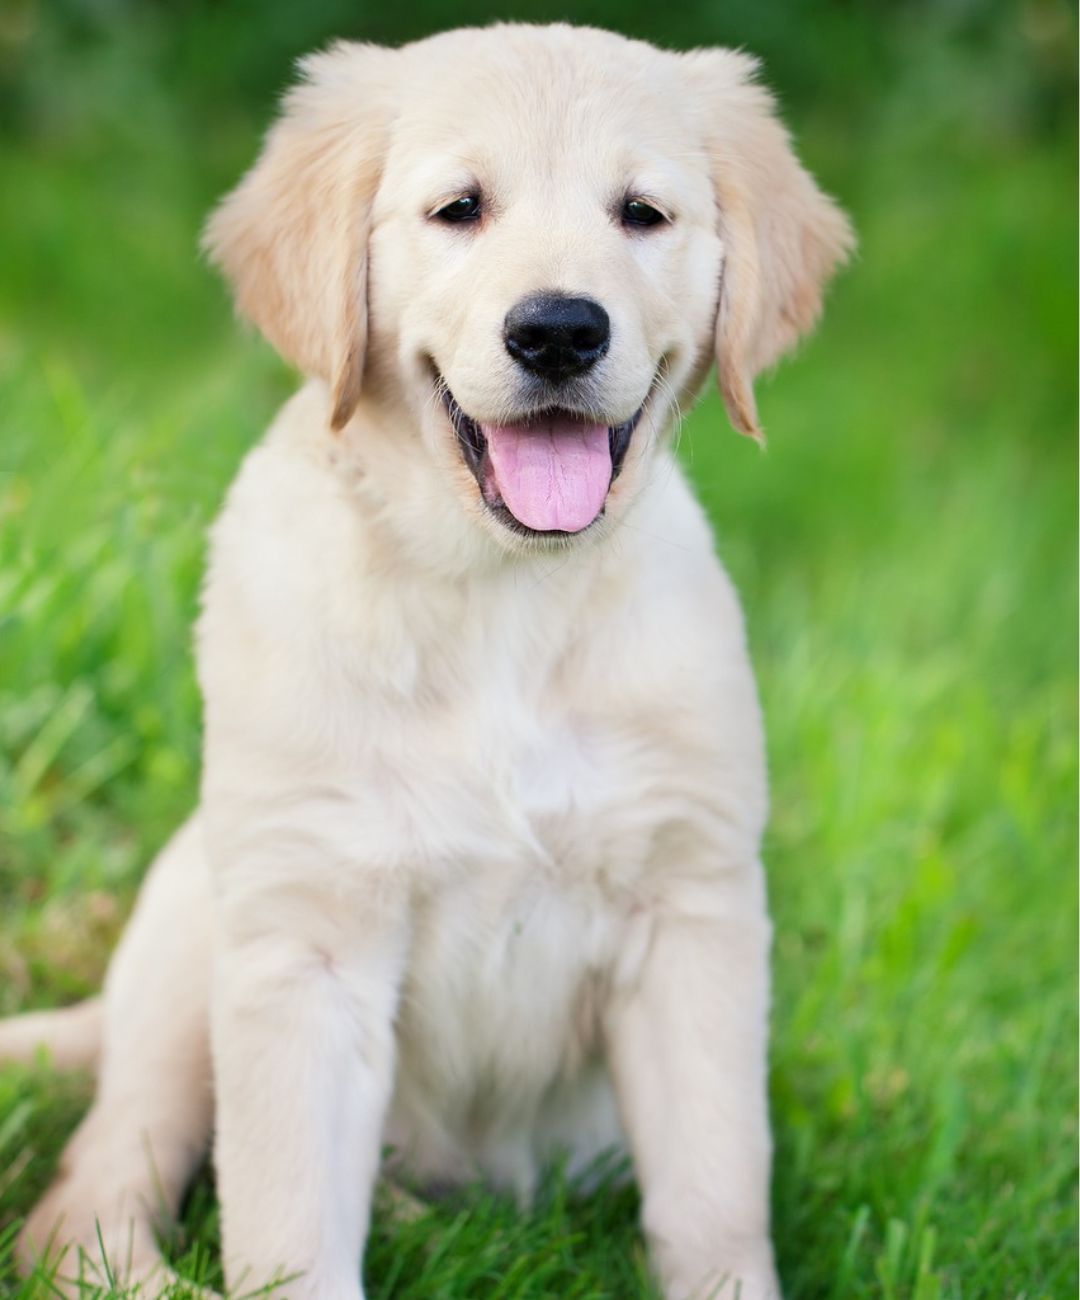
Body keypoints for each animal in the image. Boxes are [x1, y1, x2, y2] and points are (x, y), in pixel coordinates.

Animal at [0, 22, 852, 1300]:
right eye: (459, 208)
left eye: (642, 213)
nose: (559, 330)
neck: (499, 599)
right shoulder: (306, 932)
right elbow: (290, 1231)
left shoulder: (689, 909)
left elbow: (711, 1196)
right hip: (192, 931)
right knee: (86, 1198)